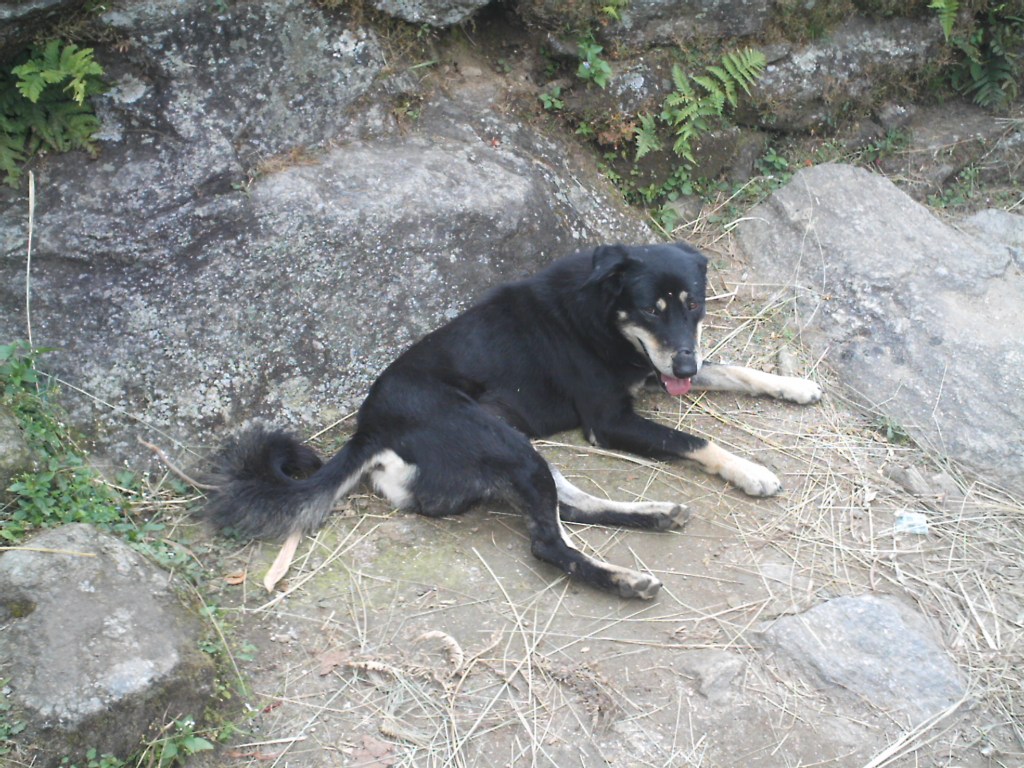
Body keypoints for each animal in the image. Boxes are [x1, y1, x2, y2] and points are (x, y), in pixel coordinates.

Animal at [204, 243, 821, 599]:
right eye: (652, 309)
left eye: (694, 305)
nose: (685, 367)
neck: (600, 309)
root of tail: (370, 431)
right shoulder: (611, 421)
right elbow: (696, 439)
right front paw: (751, 471)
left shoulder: (657, 369)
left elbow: (735, 369)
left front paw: (794, 386)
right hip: (504, 444)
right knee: (548, 543)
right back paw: (623, 579)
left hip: (516, 445)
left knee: (570, 507)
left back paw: (654, 514)